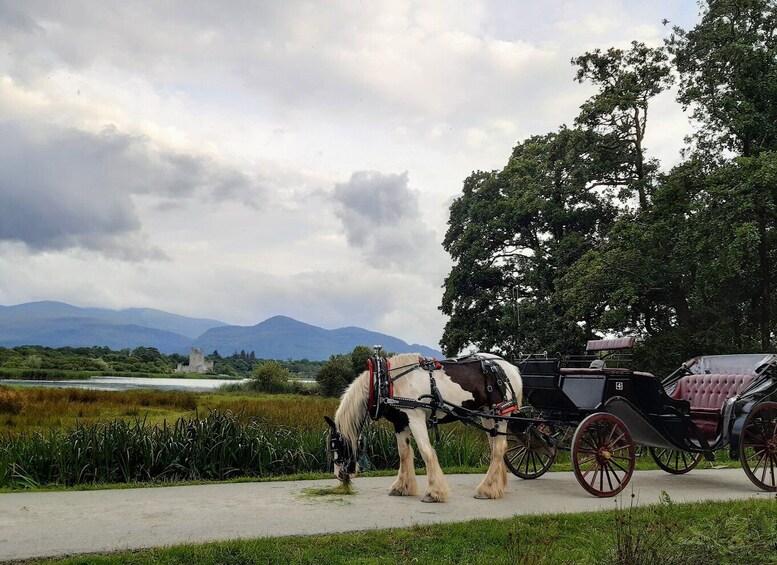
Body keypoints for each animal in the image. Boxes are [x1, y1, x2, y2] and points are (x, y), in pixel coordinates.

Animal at [322, 350, 520, 500]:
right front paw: (402, 487)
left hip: (501, 415)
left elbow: (426, 451)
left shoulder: (415, 417)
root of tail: (510, 367)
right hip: (487, 415)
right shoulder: (400, 422)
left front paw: (434, 492)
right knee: (495, 447)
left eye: (336, 445)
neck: (384, 382)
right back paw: (497, 485)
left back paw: (487, 489)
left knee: (499, 448)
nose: (338, 475)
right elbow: (403, 453)